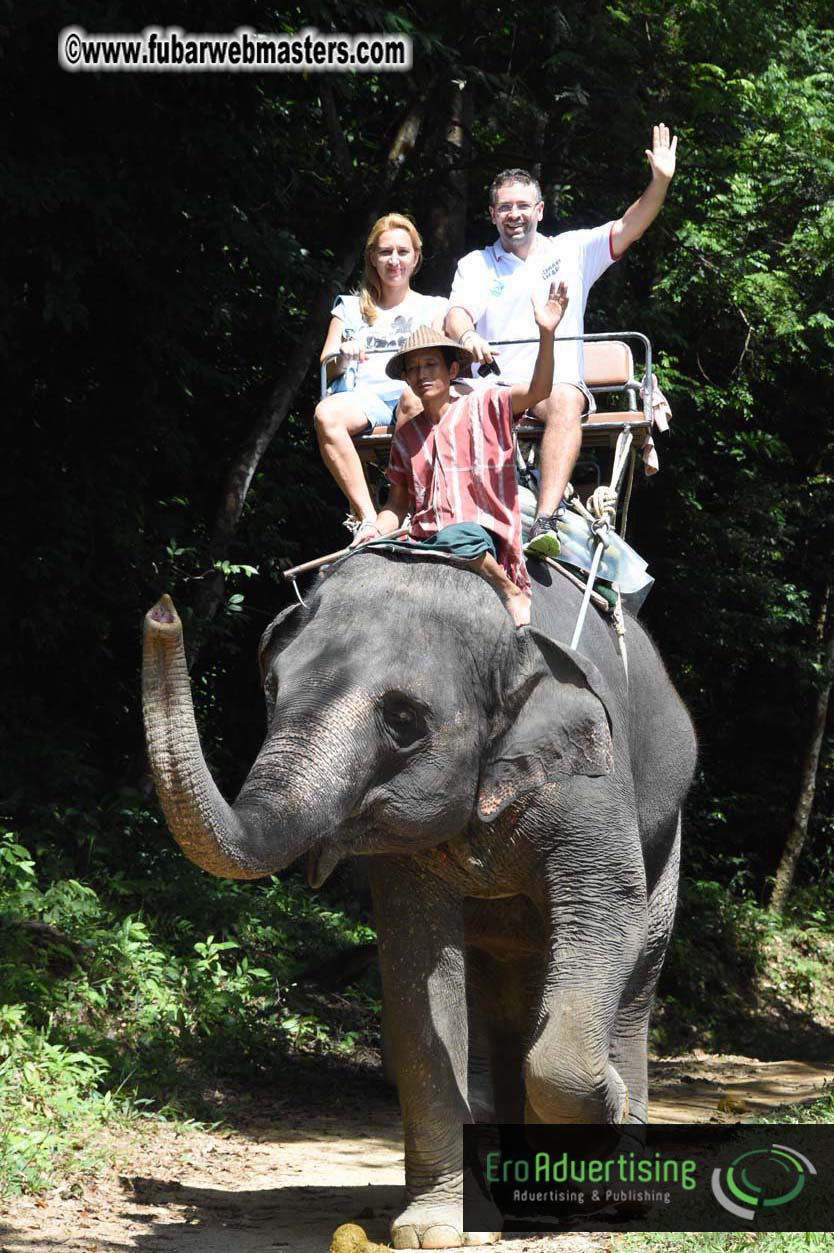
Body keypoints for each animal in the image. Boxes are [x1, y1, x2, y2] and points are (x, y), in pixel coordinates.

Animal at [142, 546, 696, 1249]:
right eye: (271, 689)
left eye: (402, 721)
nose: (162, 610)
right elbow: (418, 980)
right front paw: (437, 1230)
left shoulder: (591, 782)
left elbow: (608, 923)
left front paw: (613, 1106)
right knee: (500, 992)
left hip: (668, 834)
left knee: (639, 970)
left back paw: (615, 1194)